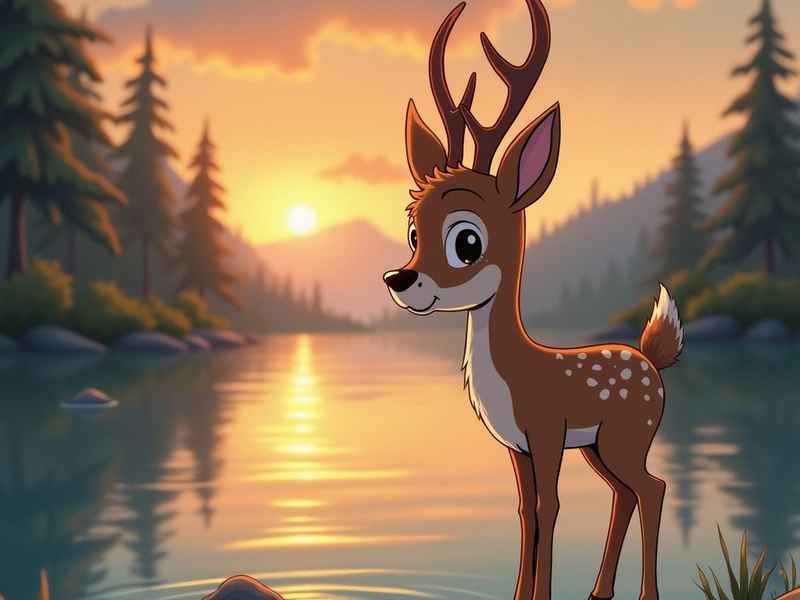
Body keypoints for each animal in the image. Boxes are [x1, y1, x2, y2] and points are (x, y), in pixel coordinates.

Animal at [382, 1, 684, 600]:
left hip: (626, 433)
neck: (516, 374)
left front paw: (540, 592)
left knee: (653, 487)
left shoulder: (546, 429)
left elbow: (551, 506)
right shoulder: (517, 446)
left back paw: (645, 592)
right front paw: (523, 592)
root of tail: (651, 360)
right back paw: (599, 590)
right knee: (626, 493)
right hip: (599, 446)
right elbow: (525, 511)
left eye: (467, 241)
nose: (399, 280)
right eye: (412, 230)